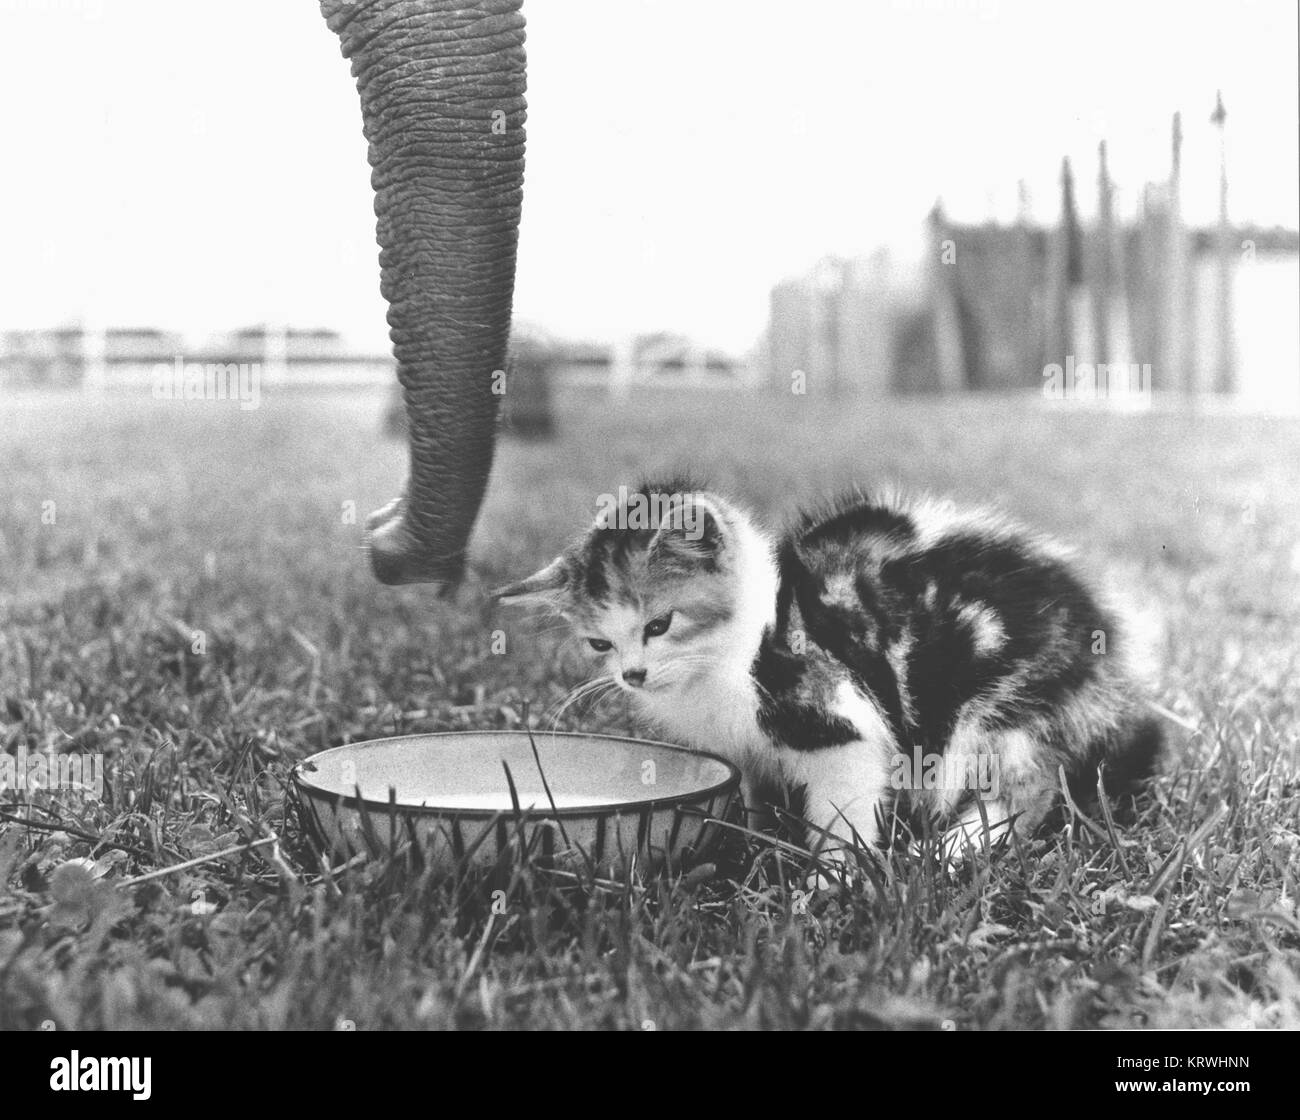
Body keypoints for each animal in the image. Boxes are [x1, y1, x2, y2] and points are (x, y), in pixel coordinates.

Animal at [491, 478, 1164, 873]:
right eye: (599, 642)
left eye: (660, 624)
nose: (632, 674)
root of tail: (1108, 659)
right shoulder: (746, 749)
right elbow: (753, 795)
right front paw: (755, 844)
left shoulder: (838, 718)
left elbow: (844, 808)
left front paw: (829, 878)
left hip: (997, 703)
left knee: (1031, 786)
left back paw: (947, 849)